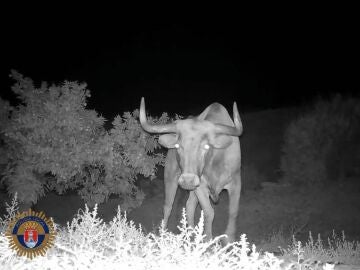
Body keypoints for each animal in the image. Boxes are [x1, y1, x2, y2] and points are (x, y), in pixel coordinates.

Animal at [139, 97, 243, 243]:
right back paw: (164, 235)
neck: (214, 163)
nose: (187, 180)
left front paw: (229, 239)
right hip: (171, 177)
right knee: (168, 206)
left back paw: (191, 234)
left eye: (206, 146)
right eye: (178, 145)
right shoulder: (200, 186)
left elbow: (233, 211)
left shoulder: (236, 182)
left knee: (189, 205)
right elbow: (209, 212)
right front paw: (208, 241)